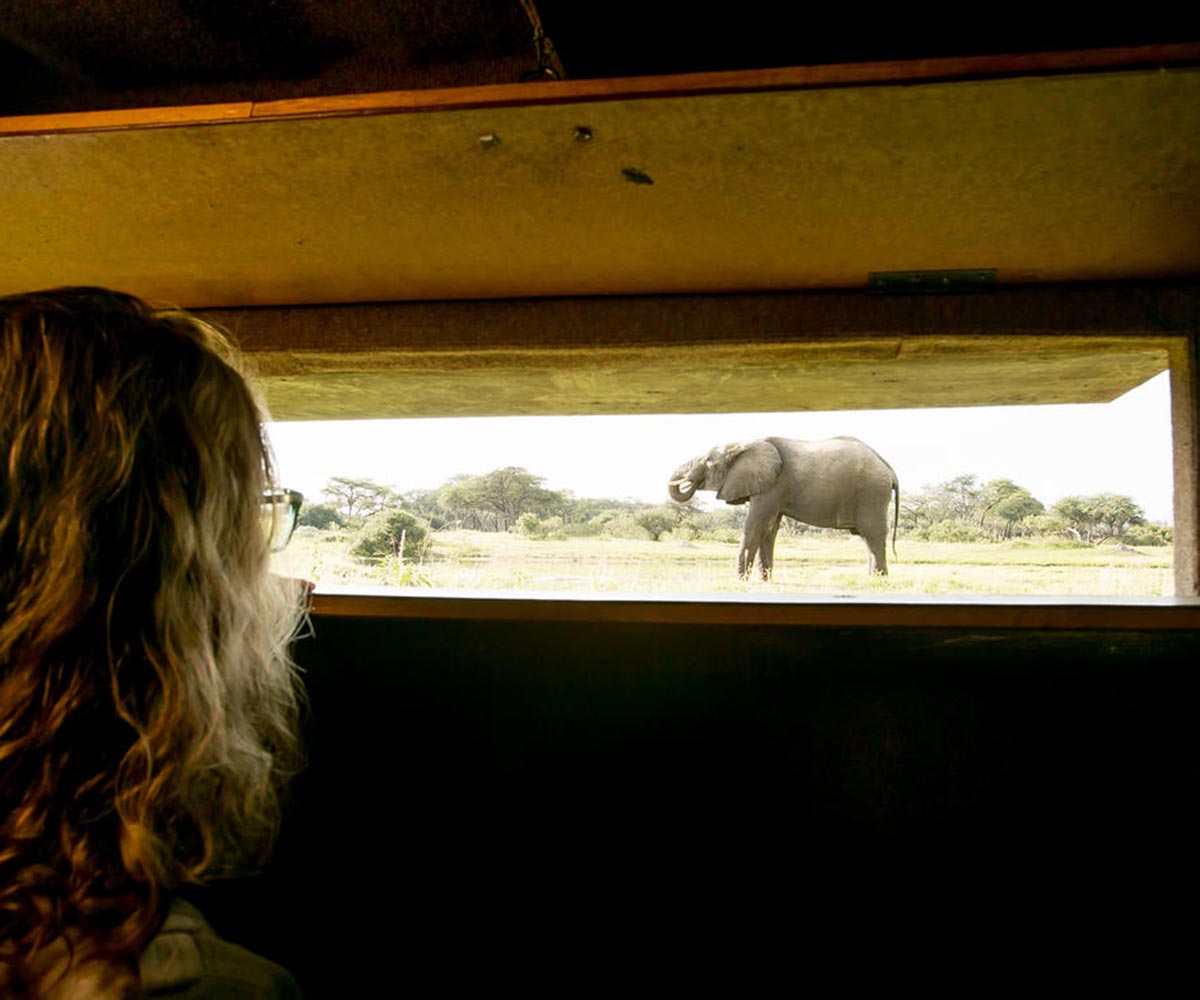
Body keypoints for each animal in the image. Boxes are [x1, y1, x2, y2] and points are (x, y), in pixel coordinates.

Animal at [667, 434, 902, 576]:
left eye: (708, 462)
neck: (746, 443)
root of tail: (889, 468)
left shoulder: (773, 486)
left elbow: (756, 527)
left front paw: (741, 581)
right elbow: (769, 530)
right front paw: (764, 581)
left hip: (871, 493)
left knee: (872, 534)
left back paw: (878, 580)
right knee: (868, 538)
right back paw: (872, 579)